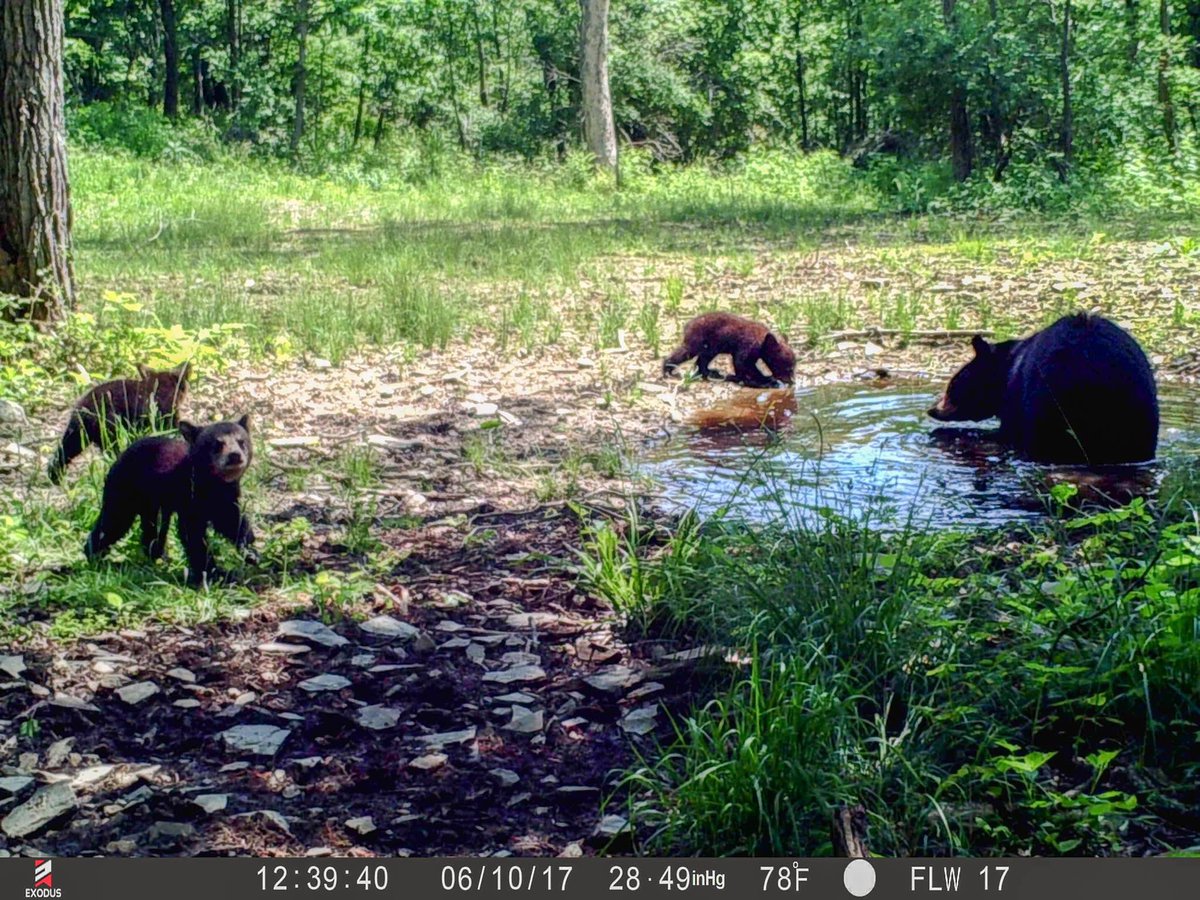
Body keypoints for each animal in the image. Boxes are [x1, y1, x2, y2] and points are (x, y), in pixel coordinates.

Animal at [48, 362, 191, 484]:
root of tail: (82, 411)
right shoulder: (168, 421)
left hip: (77, 436)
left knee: (61, 455)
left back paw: (55, 478)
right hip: (111, 433)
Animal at [84, 415, 256, 586]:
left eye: (241, 441)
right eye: (218, 444)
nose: (235, 456)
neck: (212, 484)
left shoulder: (226, 497)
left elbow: (231, 522)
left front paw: (250, 553)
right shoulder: (189, 499)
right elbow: (192, 535)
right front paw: (216, 574)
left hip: (150, 502)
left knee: (149, 529)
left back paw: (159, 557)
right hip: (124, 491)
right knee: (113, 523)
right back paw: (96, 558)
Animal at [662, 312, 796, 388]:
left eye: (793, 367)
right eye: (787, 368)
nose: (792, 381)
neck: (762, 341)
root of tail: (688, 325)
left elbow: (741, 365)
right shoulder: (747, 345)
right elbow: (743, 363)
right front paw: (766, 380)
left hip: (710, 347)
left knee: (703, 359)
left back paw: (711, 372)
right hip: (698, 341)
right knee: (685, 352)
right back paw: (667, 369)